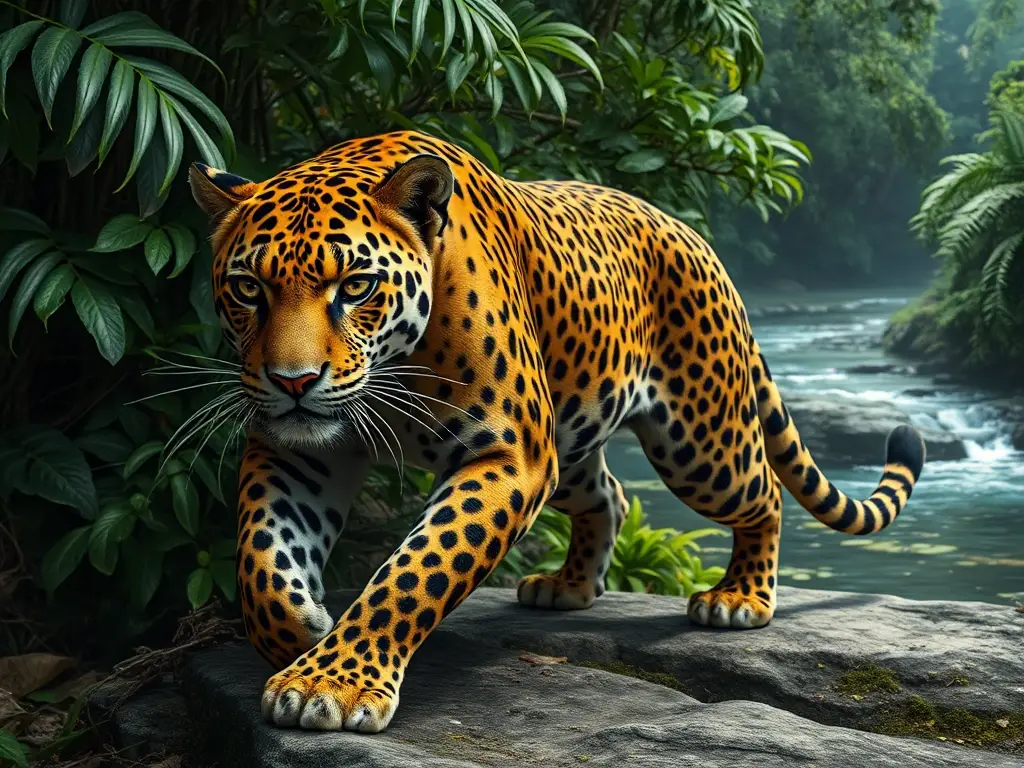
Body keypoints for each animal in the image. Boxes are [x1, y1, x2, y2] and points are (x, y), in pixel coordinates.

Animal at [188, 129, 926, 734]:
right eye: (249, 289)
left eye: (356, 286)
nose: (293, 381)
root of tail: (698, 242)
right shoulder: (294, 450)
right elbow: (259, 556)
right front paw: (300, 632)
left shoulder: (508, 453)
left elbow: (415, 570)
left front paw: (332, 684)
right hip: (571, 445)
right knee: (612, 495)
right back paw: (569, 587)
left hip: (700, 443)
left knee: (765, 492)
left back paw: (740, 598)